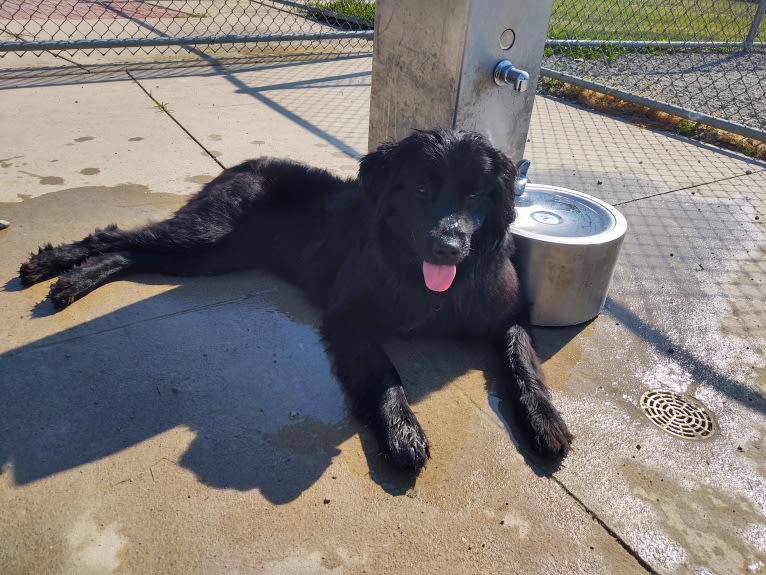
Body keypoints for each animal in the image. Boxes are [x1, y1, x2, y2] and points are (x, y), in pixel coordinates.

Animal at [18, 128, 572, 470]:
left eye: (476, 195)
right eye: (419, 189)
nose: (448, 246)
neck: (432, 284)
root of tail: (244, 163)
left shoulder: (509, 315)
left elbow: (522, 360)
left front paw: (545, 420)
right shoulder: (349, 318)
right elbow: (385, 373)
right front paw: (401, 430)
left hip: (211, 256)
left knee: (130, 253)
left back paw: (74, 280)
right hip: (205, 235)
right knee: (115, 236)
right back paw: (54, 264)